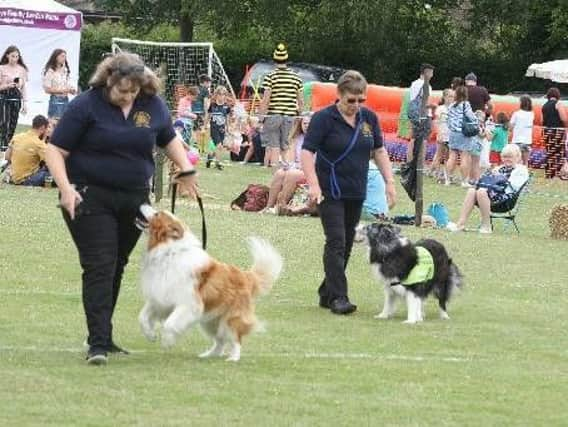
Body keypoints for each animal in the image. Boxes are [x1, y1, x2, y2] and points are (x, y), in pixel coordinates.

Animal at [136, 204, 282, 362]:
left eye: (157, 214)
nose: (143, 204)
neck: (168, 252)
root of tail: (245, 276)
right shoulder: (160, 297)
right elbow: (142, 317)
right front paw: (150, 335)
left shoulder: (188, 303)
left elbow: (169, 324)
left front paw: (167, 341)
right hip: (210, 321)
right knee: (220, 340)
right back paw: (209, 355)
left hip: (230, 319)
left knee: (235, 338)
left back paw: (233, 358)